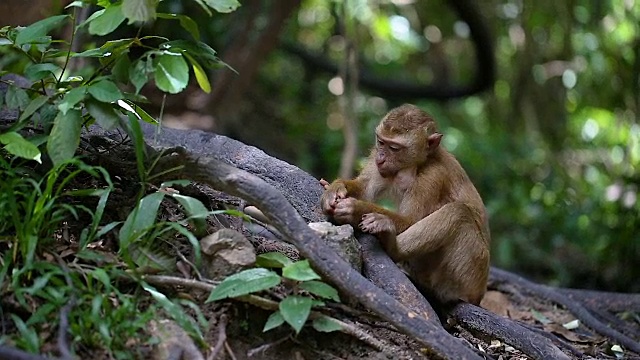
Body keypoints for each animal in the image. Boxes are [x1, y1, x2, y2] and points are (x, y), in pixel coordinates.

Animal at [320, 102, 490, 306]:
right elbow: (364, 188)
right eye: (381, 142)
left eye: (394, 148)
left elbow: (411, 220)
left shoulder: (434, 175)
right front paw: (335, 188)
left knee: (458, 212)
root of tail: (479, 294)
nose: (381, 158)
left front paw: (355, 209)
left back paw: (392, 246)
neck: (414, 165)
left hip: (470, 274)